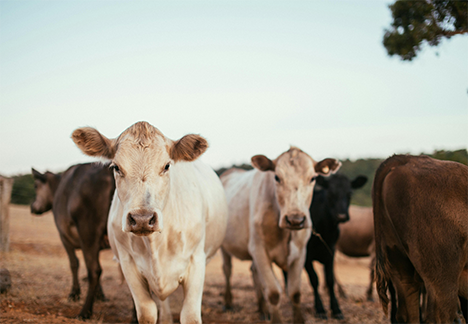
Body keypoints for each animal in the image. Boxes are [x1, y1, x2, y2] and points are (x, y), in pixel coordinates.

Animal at [30, 162, 114, 318]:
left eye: (35, 186)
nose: (32, 207)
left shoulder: (64, 236)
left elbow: (74, 263)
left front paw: (74, 294)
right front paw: (100, 295)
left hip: (88, 230)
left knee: (94, 270)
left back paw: (85, 312)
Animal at [70, 121, 229, 324]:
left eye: (167, 166)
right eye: (116, 167)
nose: (142, 219)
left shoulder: (196, 262)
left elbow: (190, 316)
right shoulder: (128, 263)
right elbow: (147, 312)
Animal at [219, 147, 340, 324]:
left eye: (312, 178)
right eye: (277, 177)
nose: (295, 220)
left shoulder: (301, 254)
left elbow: (295, 292)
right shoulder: (259, 250)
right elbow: (274, 293)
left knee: (254, 272)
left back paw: (263, 310)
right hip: (224, 246)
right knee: (227, 270)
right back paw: (228, 303)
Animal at [284, 173, 368, 318]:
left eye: (349, 193)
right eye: (330, 194)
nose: (341, 216)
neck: (324, 229)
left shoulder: (330, 252)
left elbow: (330, 280)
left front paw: (336, 309)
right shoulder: (306, 256)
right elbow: (314, 279)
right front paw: (320, 309)